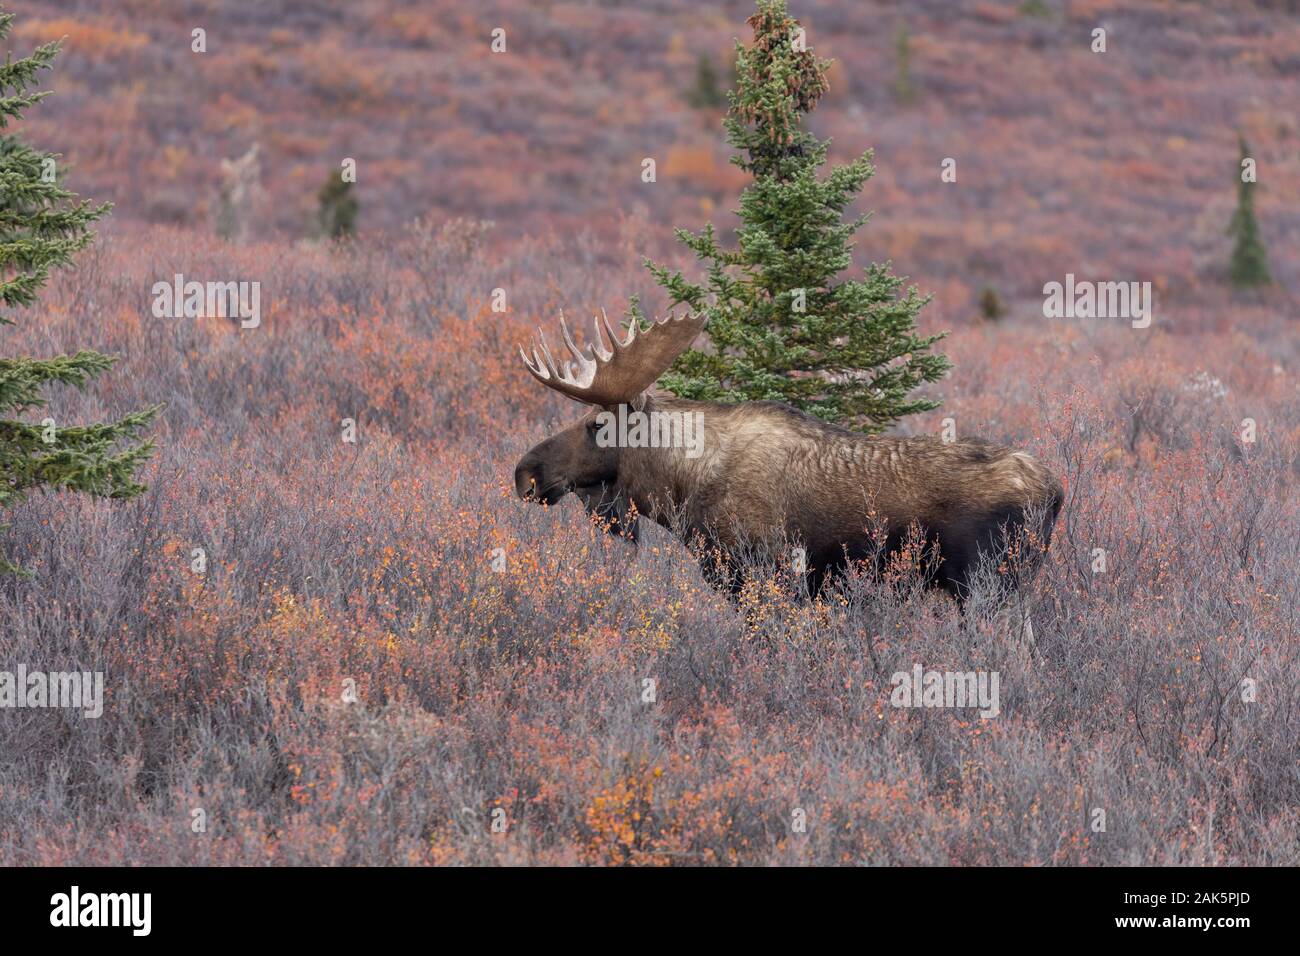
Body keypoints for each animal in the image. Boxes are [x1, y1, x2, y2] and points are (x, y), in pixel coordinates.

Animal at [513, 311, 1063, 639]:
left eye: (596, 424)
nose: (525, 473)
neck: (682, 487)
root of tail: (1056, 492)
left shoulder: (759, 568)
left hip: (987, 586)